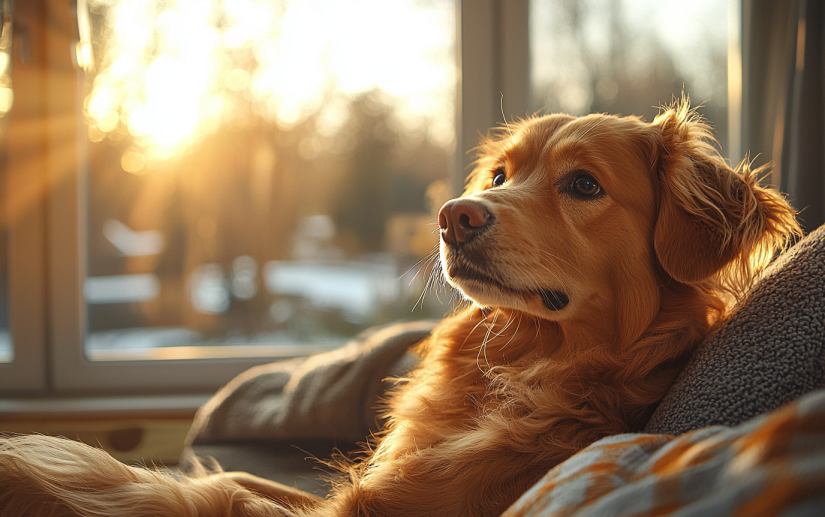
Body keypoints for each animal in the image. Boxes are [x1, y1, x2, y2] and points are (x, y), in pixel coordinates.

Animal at [0, 101, 800, 516]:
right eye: (502, 174)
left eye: (582, 184)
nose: (454, 215)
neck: (524, 363)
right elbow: (225, 480)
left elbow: (192, 493)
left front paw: (33, 464)